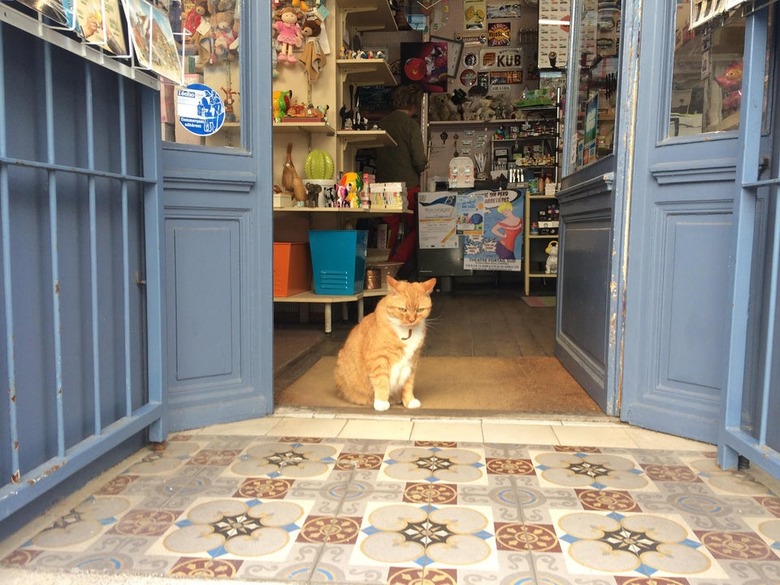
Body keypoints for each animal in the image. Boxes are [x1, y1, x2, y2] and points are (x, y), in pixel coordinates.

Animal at [332, 274, 436, 408]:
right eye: (402, 309)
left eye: (419, 310)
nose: (411, 320)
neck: (406, 332)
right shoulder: (378, 360)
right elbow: (382, 382)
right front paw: (381, 403)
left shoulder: (411, 362)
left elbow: (408, 385)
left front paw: (409, 401)